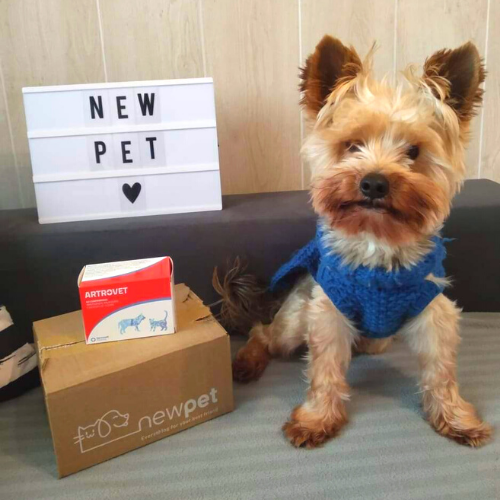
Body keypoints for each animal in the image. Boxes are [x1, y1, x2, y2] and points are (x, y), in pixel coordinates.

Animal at [224, 36, 492, 449]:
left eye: (414, 152)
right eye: (352, 145)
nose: (375, 182)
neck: (376, 240)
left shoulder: (432, 310)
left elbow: (441, 371)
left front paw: (454, 417)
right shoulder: (327, 312)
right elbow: (325, 369)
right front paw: (318, 418)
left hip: (379, 335)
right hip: (296, 317)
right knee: (263, 332)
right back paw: (247, 360)